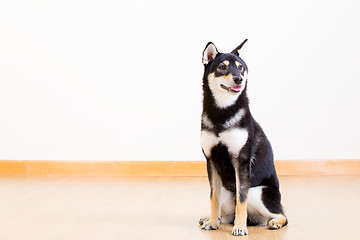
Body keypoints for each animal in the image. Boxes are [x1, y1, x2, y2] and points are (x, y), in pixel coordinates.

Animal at [198, 39, 288, 236]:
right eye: (222, 67)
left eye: (241, 68)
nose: (238, 78)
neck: (221, 113)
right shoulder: (211, 161)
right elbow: (213, 197)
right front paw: (212, 222)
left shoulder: (241, 161)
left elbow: (241, 199)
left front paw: (240, 227)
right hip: (225, 190)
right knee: (224, 214)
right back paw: (211, 218)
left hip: (257, 192)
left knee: (283, 215)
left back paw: (273, 222)